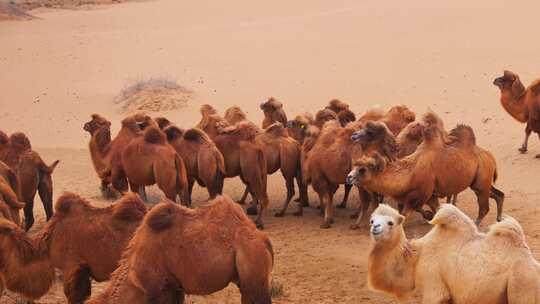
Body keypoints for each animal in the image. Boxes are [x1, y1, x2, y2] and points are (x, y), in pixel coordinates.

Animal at [348, 122, 504, 224]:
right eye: (355, 166)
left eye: (362, 170)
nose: (349, 177)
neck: (409, 173)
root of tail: (491, 157)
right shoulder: (429, 195)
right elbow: (436, 209)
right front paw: (432, 217)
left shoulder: (422, 193)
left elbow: (408, 213)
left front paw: (429, 217)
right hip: (480, 182)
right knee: (498, 194)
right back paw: (499, 218)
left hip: (482, 179)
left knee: (484, 207)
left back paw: (476, 224)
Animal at [368, 203, 540, 302]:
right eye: (372, 220)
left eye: (390, 222)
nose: (375, 228)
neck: (417, 257)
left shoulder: (434, 286)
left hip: (522, 284)